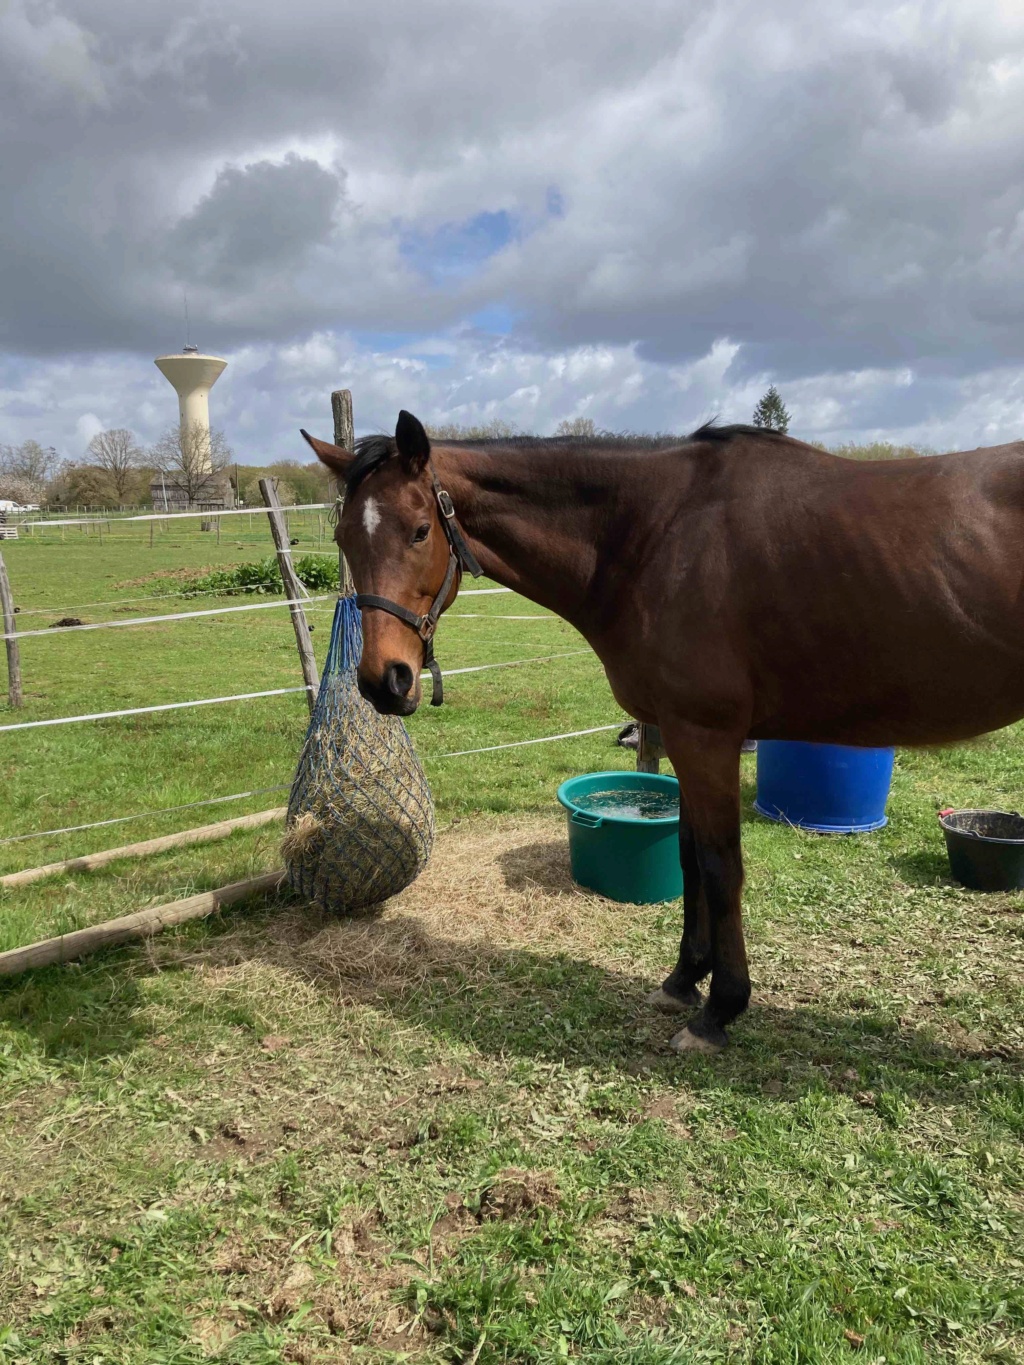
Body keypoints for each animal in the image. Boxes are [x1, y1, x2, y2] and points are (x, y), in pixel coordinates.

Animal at [303, 414, 1024, 1053]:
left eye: (421, 530)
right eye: (343, 538)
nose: (384, 681)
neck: (661, 533)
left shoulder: (707, 736)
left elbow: (721, 866)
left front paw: (720, 1008)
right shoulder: (681, 736)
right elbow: (687, 856)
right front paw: (683, 980)